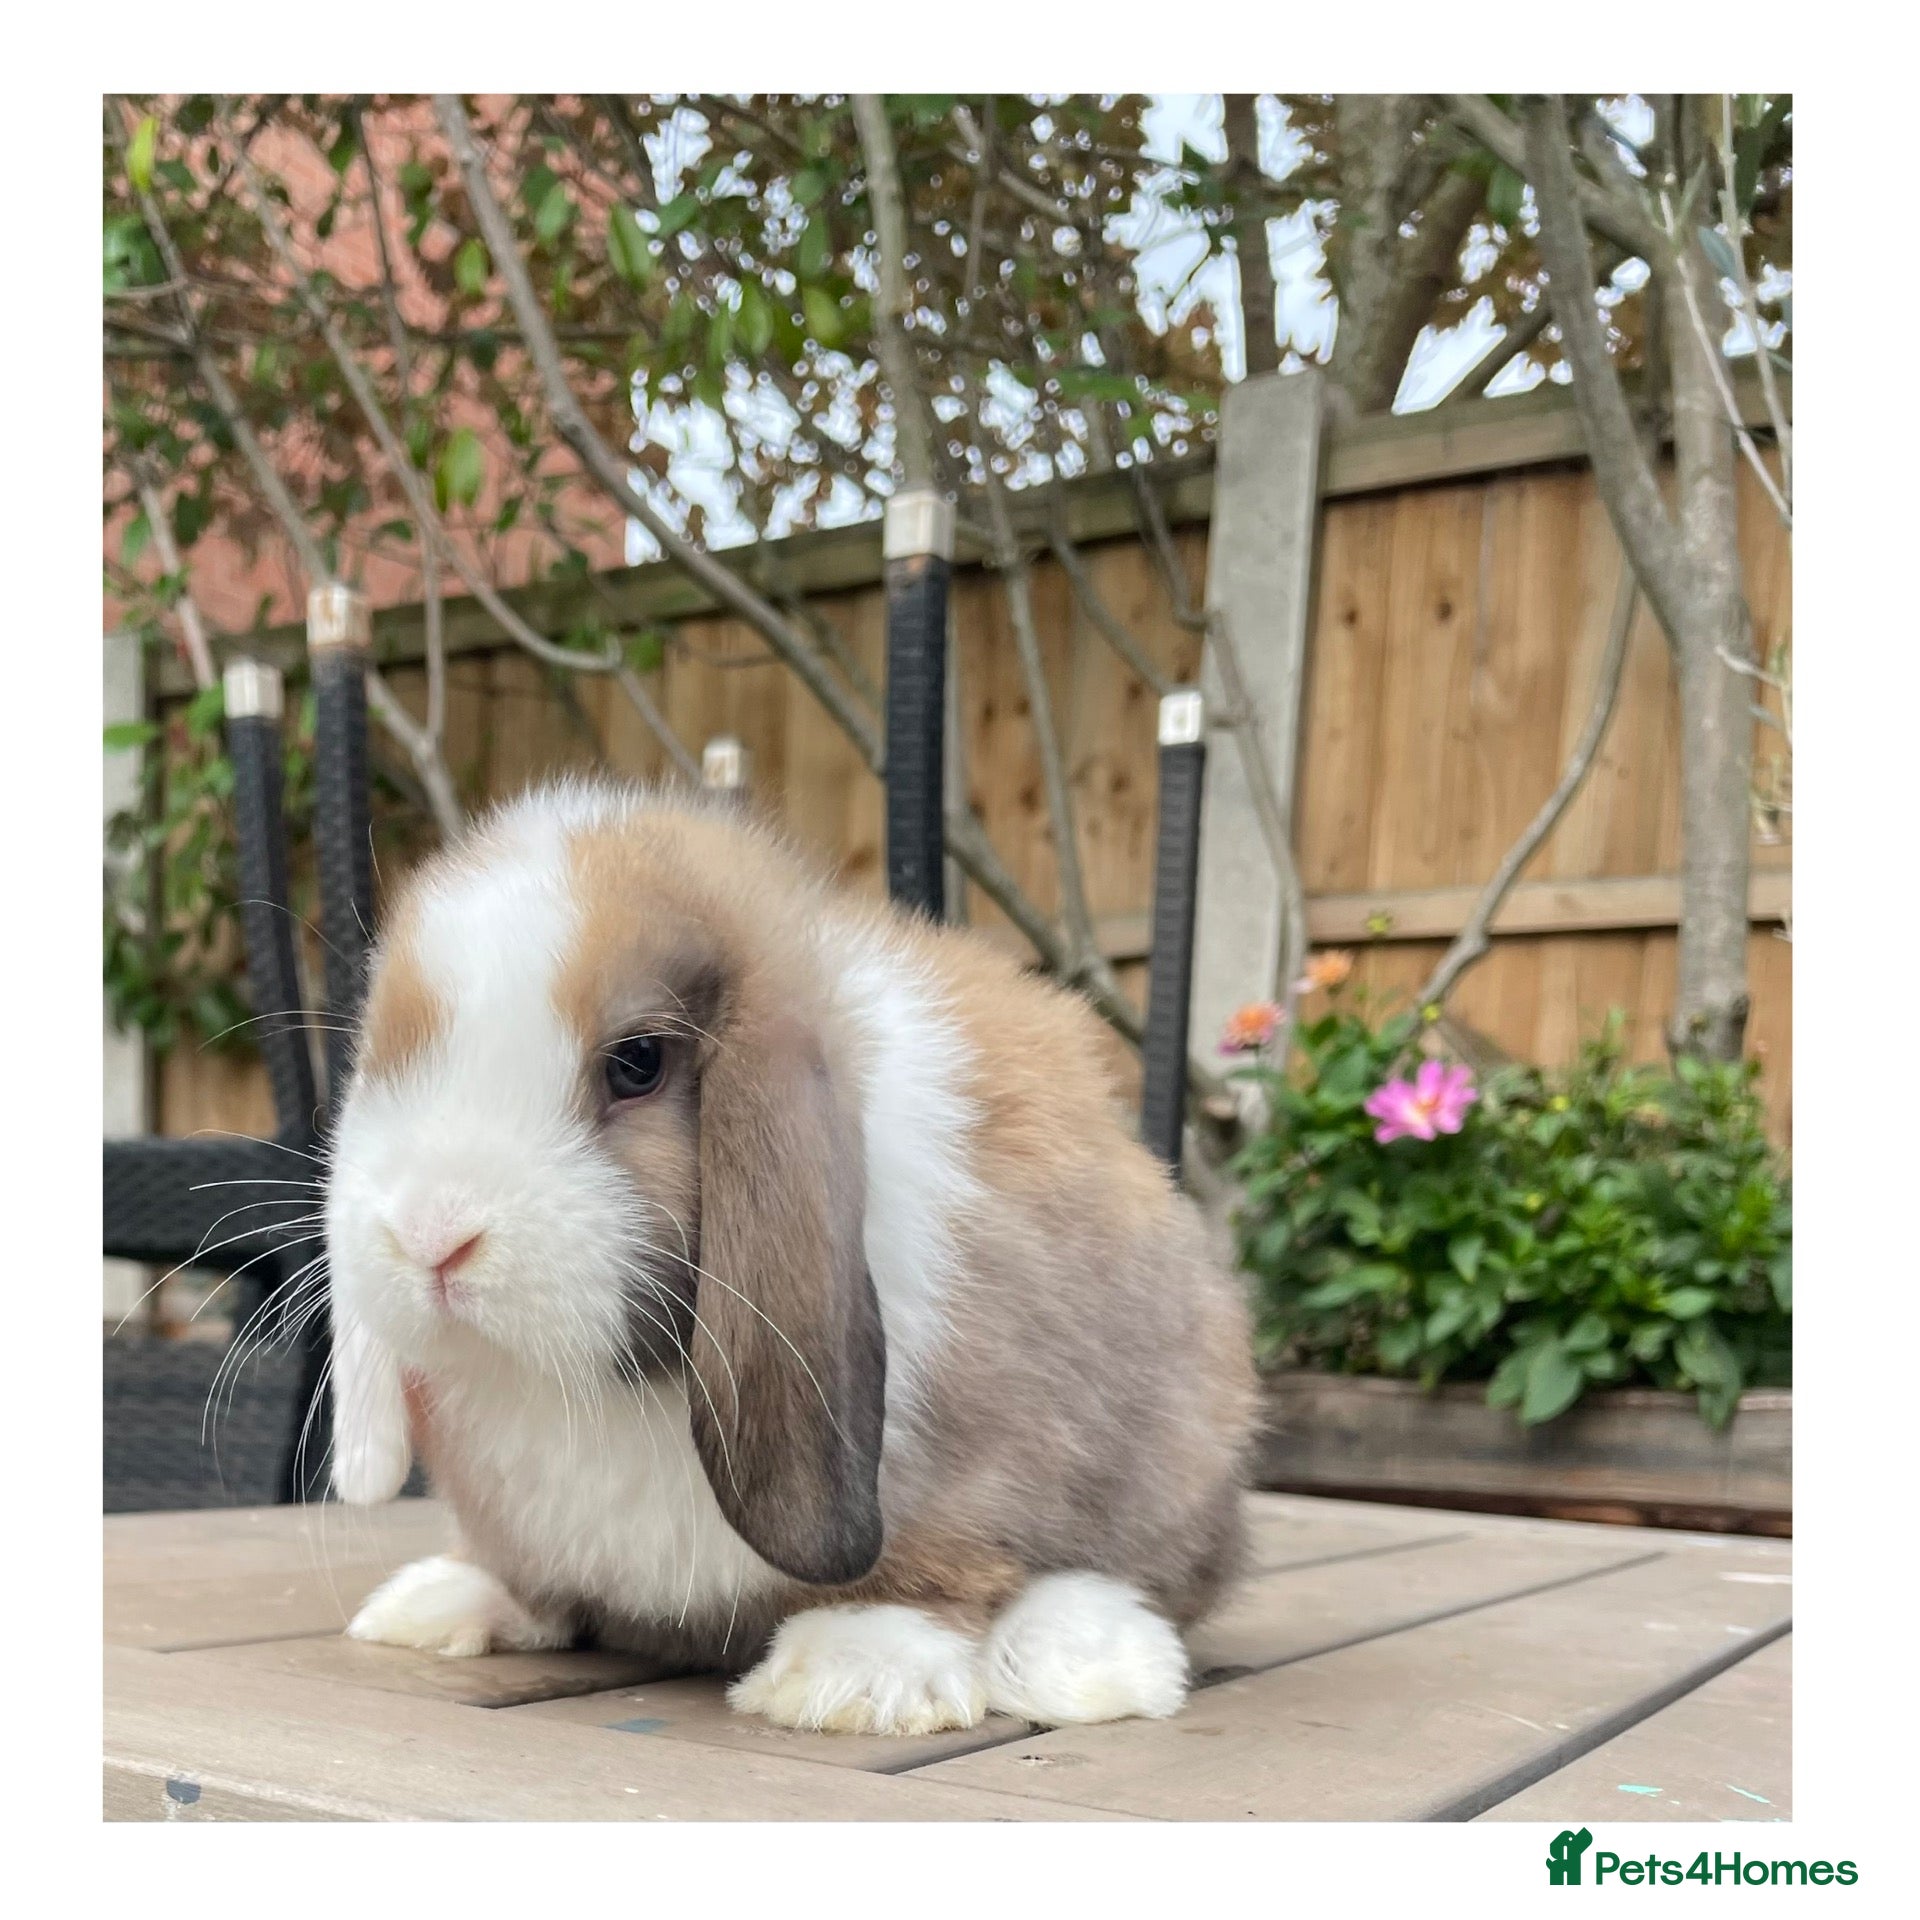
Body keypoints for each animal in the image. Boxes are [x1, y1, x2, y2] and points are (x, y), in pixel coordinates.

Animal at [326, 780, 1256, 1735]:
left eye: (638, 1062)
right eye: (391, 1054)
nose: (431, 1234)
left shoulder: (983, 1473)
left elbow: (933, 1576)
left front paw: (852, 1677)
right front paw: (448, 1605)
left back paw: (1085, 1658)